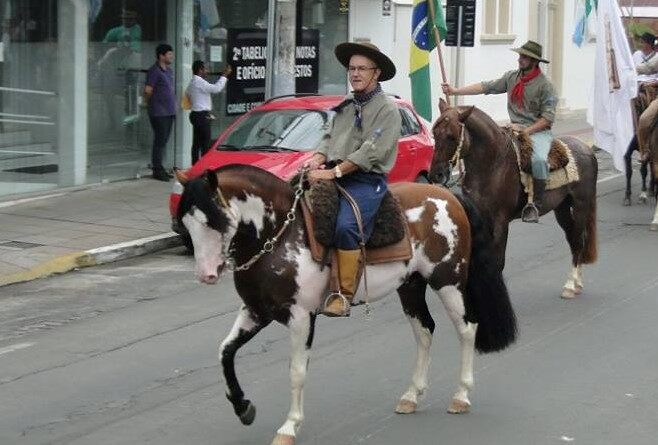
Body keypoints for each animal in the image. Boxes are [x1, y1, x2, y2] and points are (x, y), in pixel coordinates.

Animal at [177, 164, 516, 444]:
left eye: (213, 220)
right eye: (186, 224)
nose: (205, 275)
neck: (279, 235)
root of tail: (447, 194)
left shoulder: (301, 317)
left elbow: (296, 371)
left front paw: (289, 426)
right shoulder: (256, 311)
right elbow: (225, 352)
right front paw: (243, 407)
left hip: (448, 281)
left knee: (466, 329)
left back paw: (461, 396)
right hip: (410, 285)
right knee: (424, 331)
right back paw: (411, 396)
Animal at [428, 100, 596, 298]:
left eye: (452, 136)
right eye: (434, 133)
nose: (435, 175)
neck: (492, 165)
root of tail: (586, 149)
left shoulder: (500, 222)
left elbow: (498, 261)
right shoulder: (481, 219)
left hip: (581, 205)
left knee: (578, 240)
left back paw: (571, 285)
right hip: (562, 209)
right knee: (572, 238)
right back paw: (576, 283)